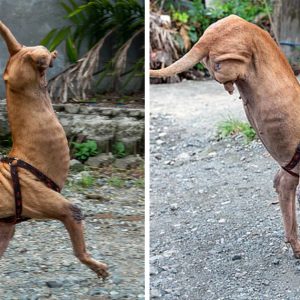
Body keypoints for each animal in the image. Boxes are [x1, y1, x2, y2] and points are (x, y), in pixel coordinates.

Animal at [0, 21, 108, 278]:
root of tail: (17, 52)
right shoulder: (5, 230)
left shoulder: (65, 209)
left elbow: (79, 249)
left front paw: (97, 267)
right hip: (21, 75)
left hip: (23, 71)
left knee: (40, 57)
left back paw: (51, 56)